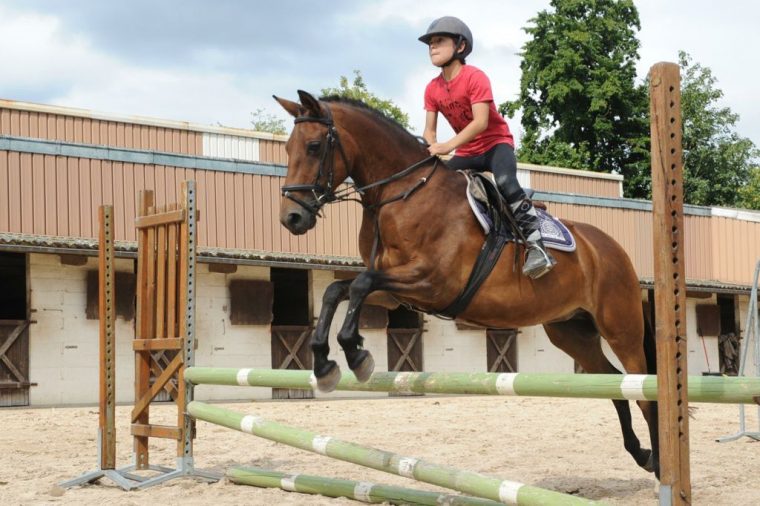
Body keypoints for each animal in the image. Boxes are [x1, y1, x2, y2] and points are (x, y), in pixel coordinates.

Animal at [274, 90, 660, 474]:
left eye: (313, 146)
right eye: (288, 148)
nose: (291, 218)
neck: (403, 193)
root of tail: (612, 248)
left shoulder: (432, 283)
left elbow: (358, 285)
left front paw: (357, 355)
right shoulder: (396, 293)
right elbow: (337, 290)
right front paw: (325, 364)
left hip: (621, 329)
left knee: (644, 391)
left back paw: (657, 462)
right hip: (571, 331)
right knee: (614, 384)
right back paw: (640, 453)